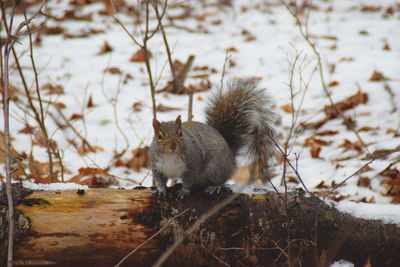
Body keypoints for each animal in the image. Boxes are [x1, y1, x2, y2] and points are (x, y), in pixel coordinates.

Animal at [148, 79, 276, 199]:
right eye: (159, 136)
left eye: (180, 133)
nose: (173, 145)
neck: (170, 156)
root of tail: (231, 156)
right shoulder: (157, 166)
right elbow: (160, 180)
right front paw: (161, 190)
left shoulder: (193, 164)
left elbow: (189, 180)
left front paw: (184, 190)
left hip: (216, 168)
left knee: (220, 180)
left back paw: (214, 187)